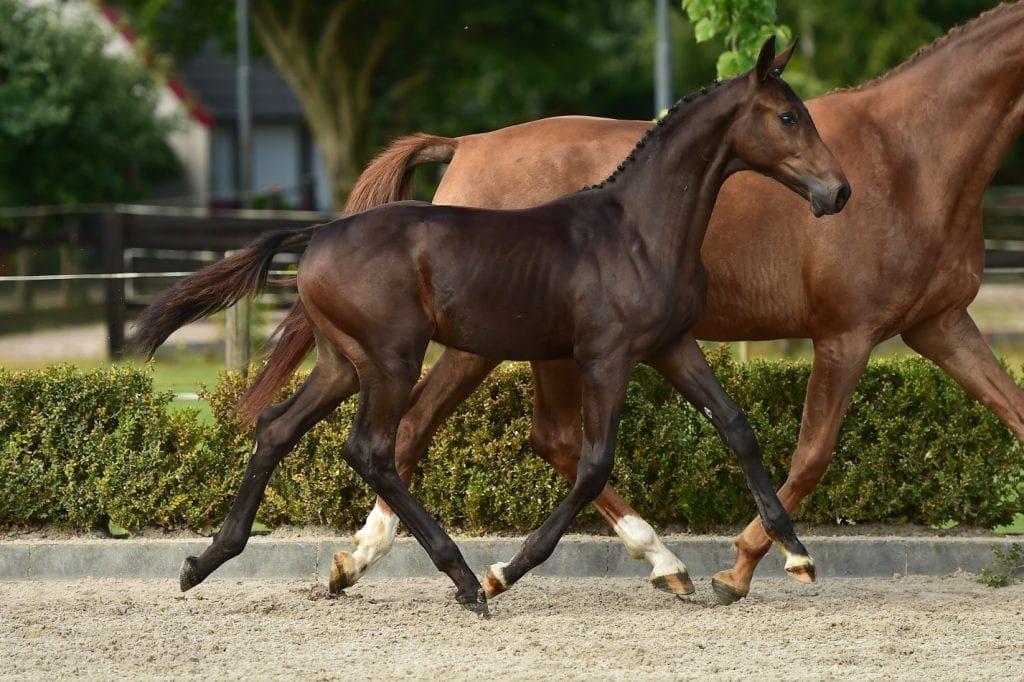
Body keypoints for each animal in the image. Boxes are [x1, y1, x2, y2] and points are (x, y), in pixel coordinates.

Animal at [131, 39, 849, 611]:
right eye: (788, 116)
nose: (837, 192)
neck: (639, 229)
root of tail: (319, 234)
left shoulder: (671, 345)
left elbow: (736, 426)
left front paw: (795, 554)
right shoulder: (606, 356)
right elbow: (593, 462)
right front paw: (510, 569)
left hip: (343, 363)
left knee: (277, 427)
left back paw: (204, 562)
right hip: (392, 359)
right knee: (373, 448)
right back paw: (465, 579)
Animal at [236, 2, 1024, 605]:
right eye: (787, 119)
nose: (837, 194)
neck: (912, 156)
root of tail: (464, 145)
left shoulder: (939, 326)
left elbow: (1010, 412)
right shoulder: (846, 334)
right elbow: (811, 455)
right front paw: (747, 566)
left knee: (477, 435)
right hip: (473, 346)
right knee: (424, 431)